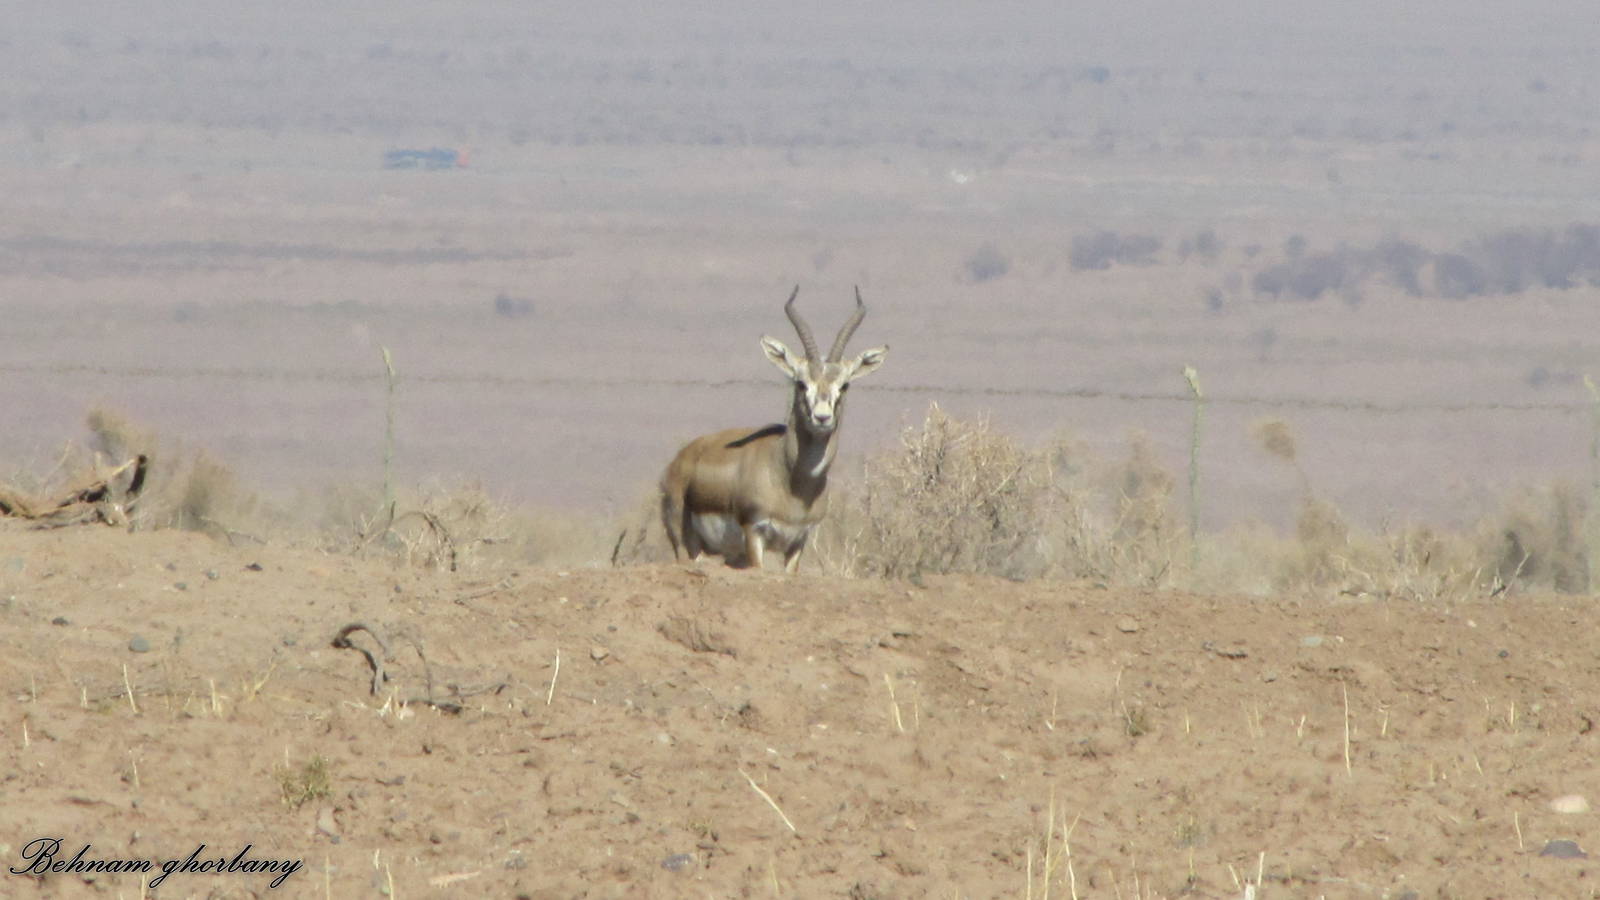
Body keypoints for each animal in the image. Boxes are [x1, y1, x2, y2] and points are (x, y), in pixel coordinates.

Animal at [660, 286, 888, 572]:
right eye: (801, 383)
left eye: (844, 385)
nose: (822, 418)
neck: (792, 482)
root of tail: (679, 460)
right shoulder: (754, 532)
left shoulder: (798, 540)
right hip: (686, 544)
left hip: (730, 554)